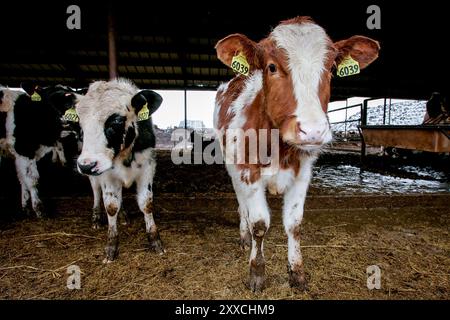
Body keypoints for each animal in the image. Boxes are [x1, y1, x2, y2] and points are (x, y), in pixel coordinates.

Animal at [0, 84, 81, 216]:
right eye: (48, 101)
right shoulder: (24, 150)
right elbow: (31, 179)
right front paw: (38, 208)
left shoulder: (24, 153)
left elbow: (23, 177)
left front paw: (25, 206)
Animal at [75, 79, 165, 262]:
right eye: (80, 120)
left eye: (116, 120)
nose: (86, 165)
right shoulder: (105, 173)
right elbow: (111, 206)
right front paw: (111, 247)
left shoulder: (148, 166)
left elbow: (146, 203)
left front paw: (155, 241)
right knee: (96, 192)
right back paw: (96, 218)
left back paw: (123, 217)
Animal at [214, 18, 380, 292]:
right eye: (271, 67)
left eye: (331, 68)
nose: (312, 130)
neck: (278, 148)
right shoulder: (248, 171)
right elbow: (259, 223)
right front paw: (256, 272)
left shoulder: (303, 174)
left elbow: (294, 224)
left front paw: (297, 273)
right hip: (231, 165)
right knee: (242, 206)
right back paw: (244, 237)